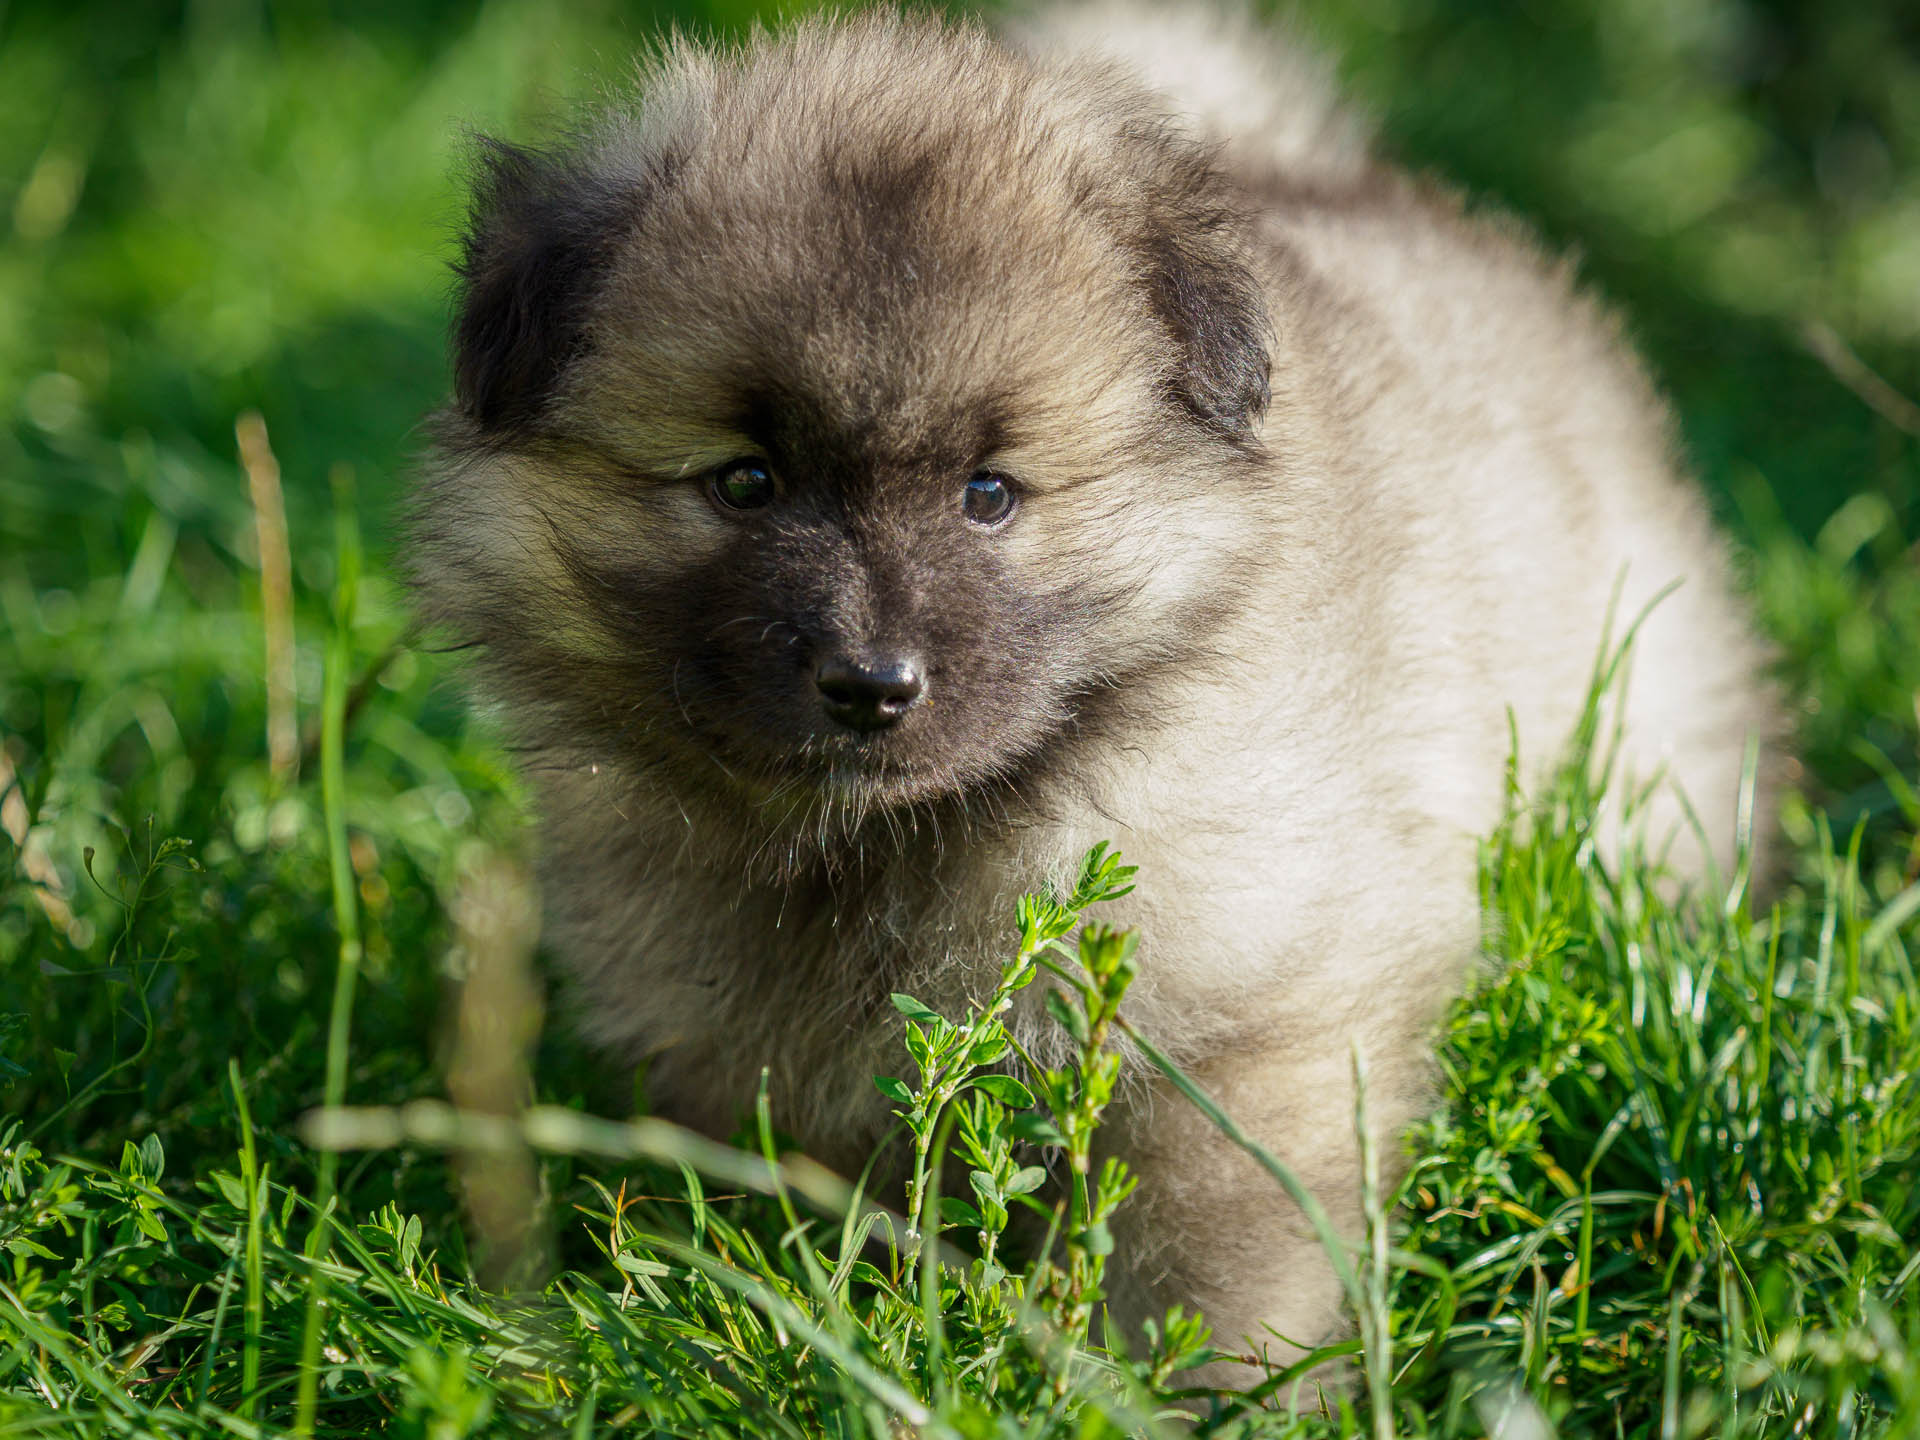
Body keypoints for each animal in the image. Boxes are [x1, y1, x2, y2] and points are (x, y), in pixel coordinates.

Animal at [408, 2, 1781, 1390]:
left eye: (990, 494)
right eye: (745, 483)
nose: (871, 685)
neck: (883, 846)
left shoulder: (1249, 1028)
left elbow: (1217, 1265)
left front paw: (1219, 1398)